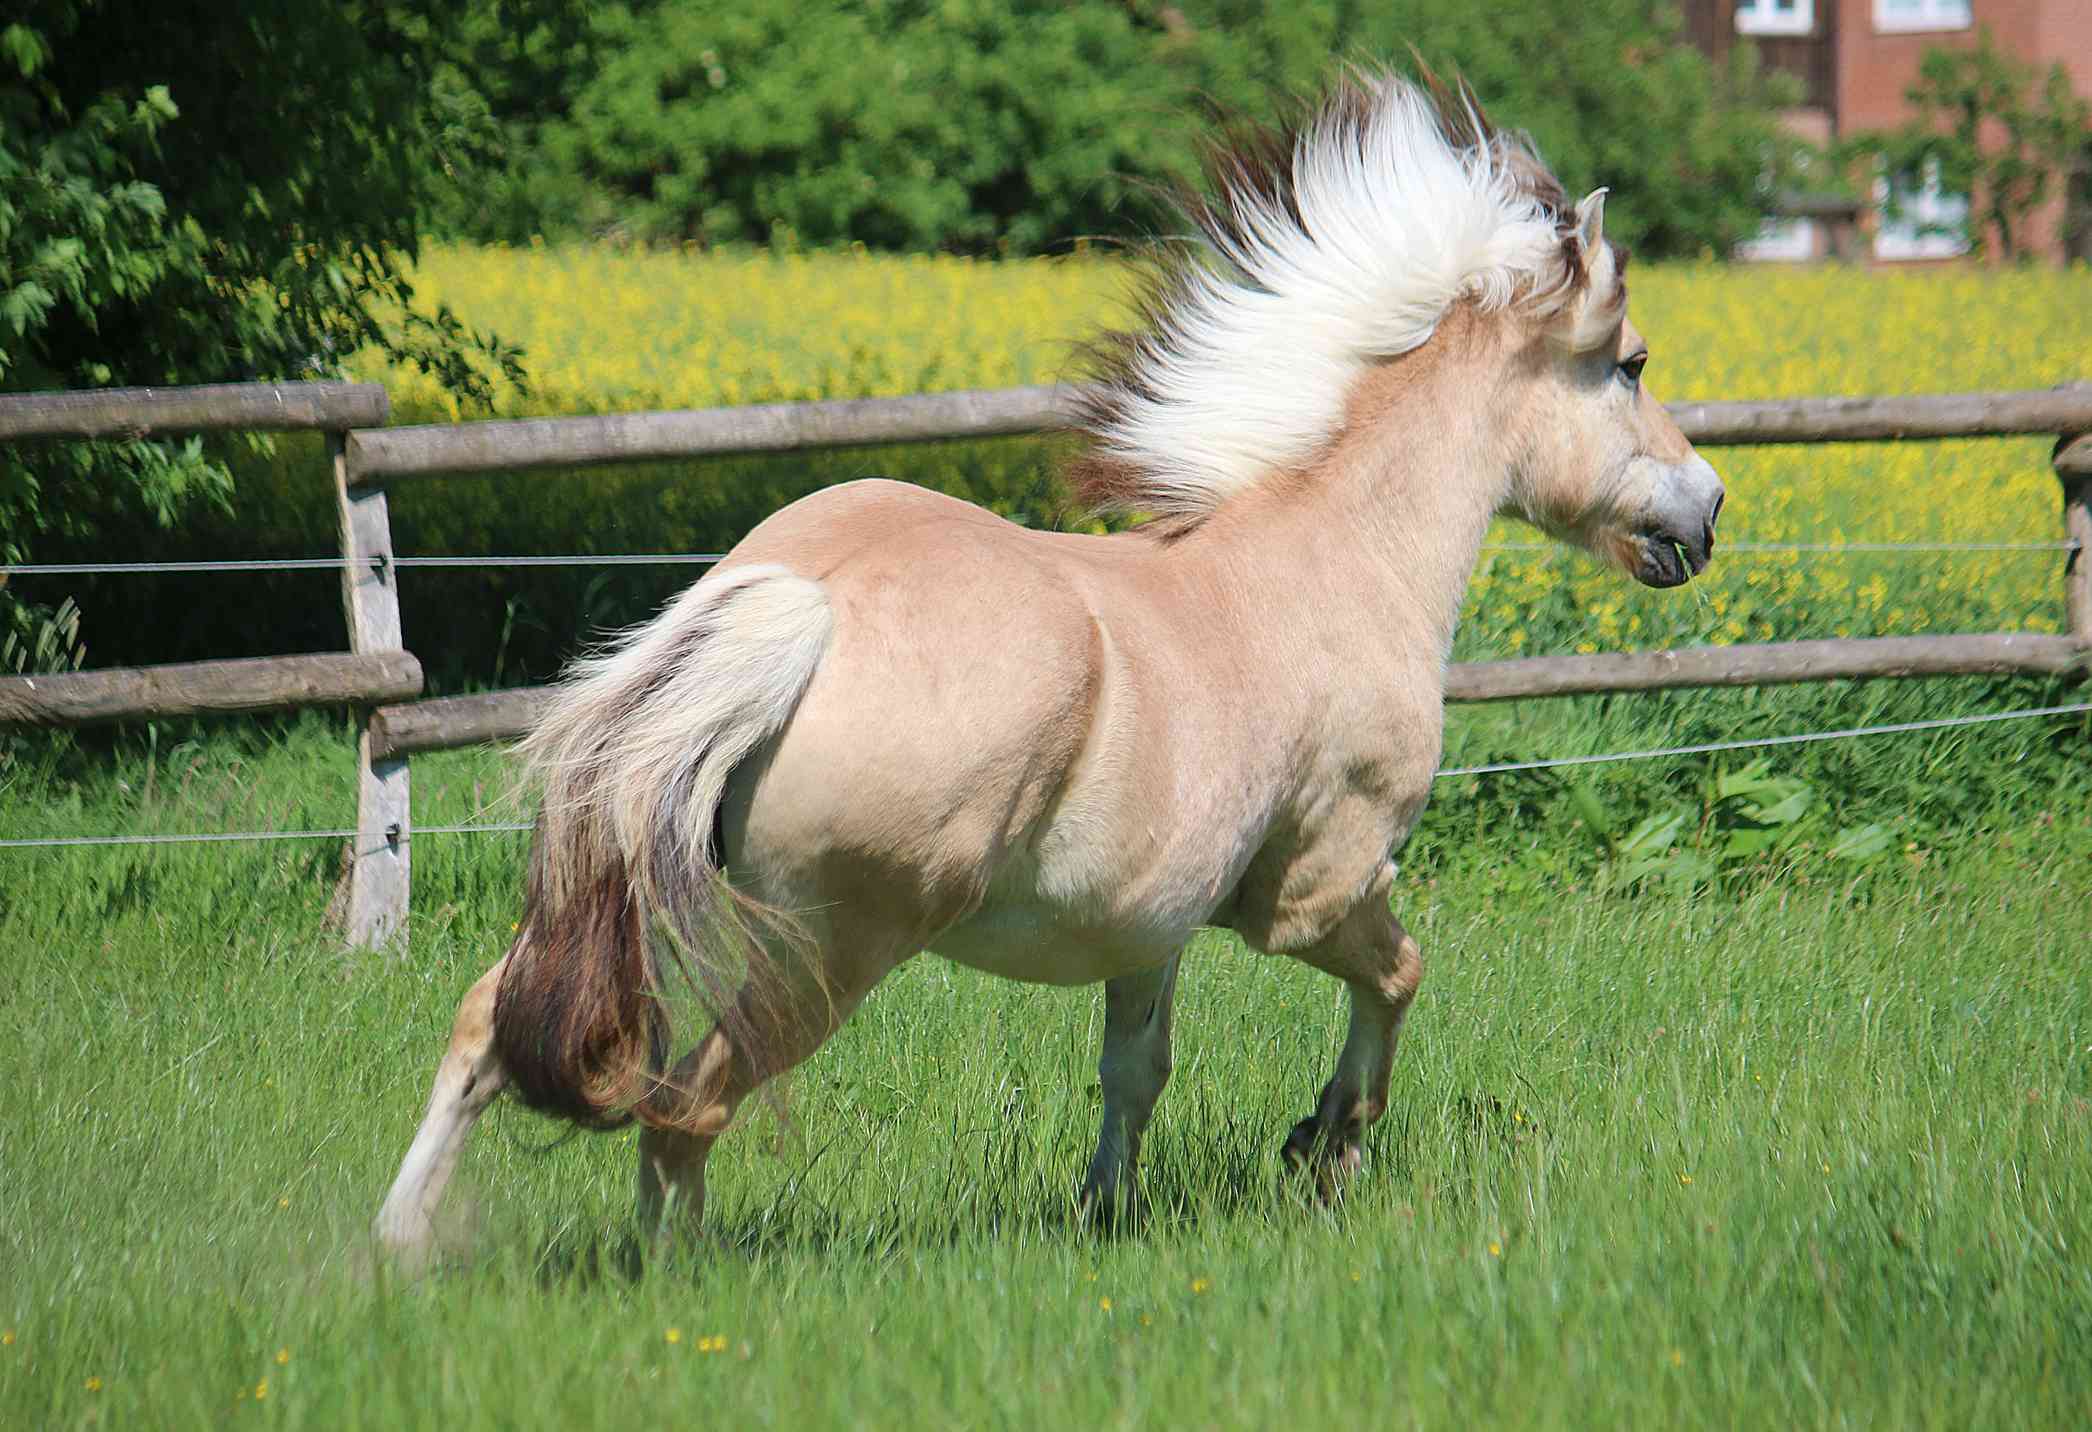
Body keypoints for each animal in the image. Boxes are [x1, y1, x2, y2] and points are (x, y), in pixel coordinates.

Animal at [372, 70, 1715, 1262]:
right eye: (1632, 363)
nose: (1703, 512)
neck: (1335, 559)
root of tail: (804, 609)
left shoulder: (1150, 930)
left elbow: (1135, 1069)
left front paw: (1106, 1208)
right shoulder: (1313, 893)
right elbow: (1397, 976)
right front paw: (1324, 1144)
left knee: (486, 1032)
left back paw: (394, 1253)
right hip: (828, 948)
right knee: (682, 1110)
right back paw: (671, 1275)